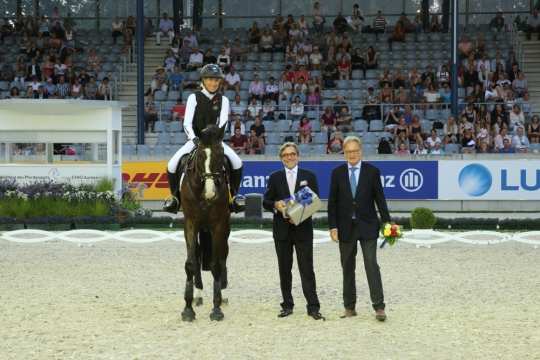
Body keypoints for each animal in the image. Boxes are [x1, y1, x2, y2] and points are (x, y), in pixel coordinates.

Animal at [180, 125, 231, 322]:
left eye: (221, 153)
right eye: (201, 155)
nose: (211, 193)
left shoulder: (218, 225)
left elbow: (216, 264)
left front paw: (216, 309)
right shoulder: (190, 223)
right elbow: (190, 264)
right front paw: (187, 309)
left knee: (223, 256)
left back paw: (223, 295)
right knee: (198, 254)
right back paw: (198, 295)